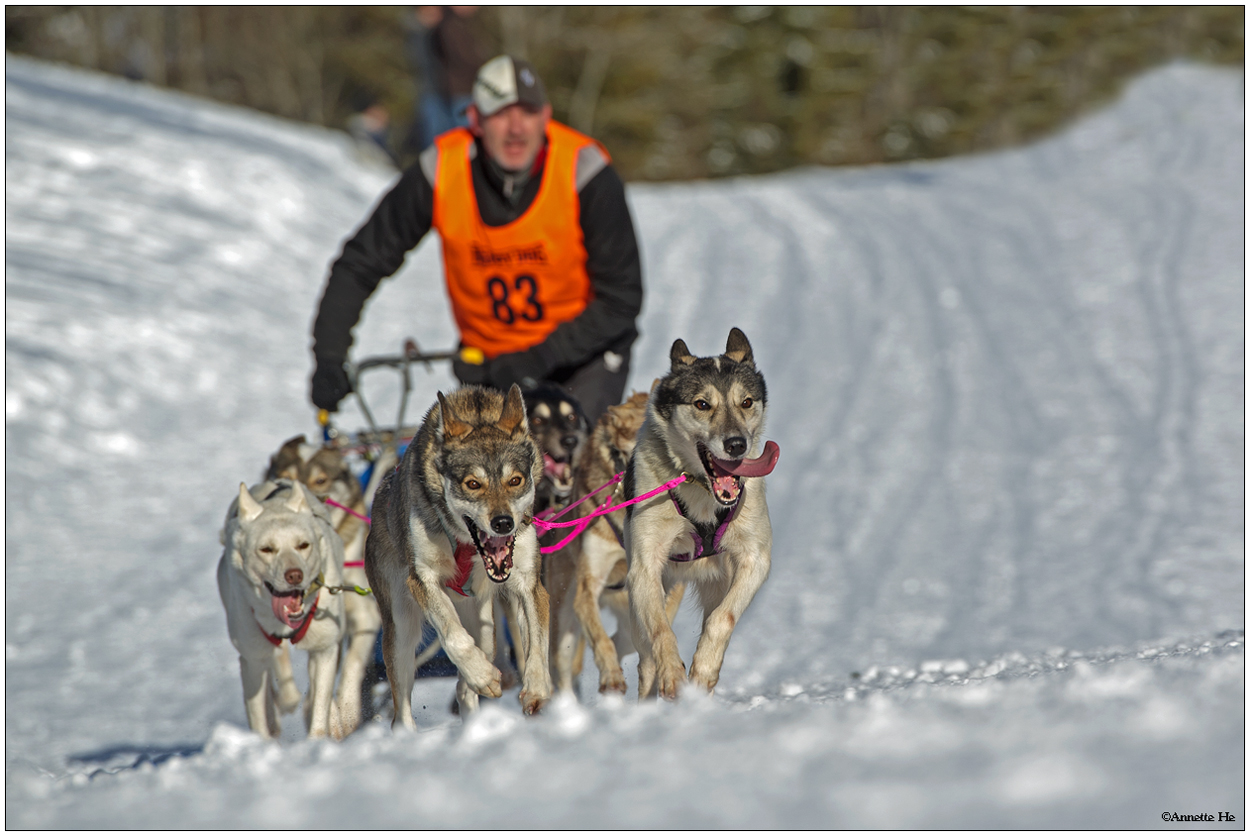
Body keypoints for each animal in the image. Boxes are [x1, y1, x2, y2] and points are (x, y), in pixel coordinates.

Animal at [217, 474, 347, 734]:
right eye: (266, 549)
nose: (294, 575)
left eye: (303, 545)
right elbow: (258, 717)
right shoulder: (253, 660)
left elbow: (320, 707)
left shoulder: (324, 648)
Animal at [365, 384, 552, 724]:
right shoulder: (423, 579)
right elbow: (452, 635)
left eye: (515, 480)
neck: (466, 545)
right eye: (473, 484)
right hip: (401, 626)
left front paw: (536, 688)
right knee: (402, 707)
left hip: (487, 631)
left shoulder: (528, 583)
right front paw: (482, 674)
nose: (503, 522)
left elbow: (537, 644)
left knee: (465, 687)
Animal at [630, 324, 775, 699]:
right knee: (645, 654)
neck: (702, 492)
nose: (736, 444)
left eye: (746, 402)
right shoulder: (644, 568)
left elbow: (722, 619)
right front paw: (672, 674)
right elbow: (661, 631)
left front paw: (705, 669)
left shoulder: (755, 558)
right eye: (702, 404)